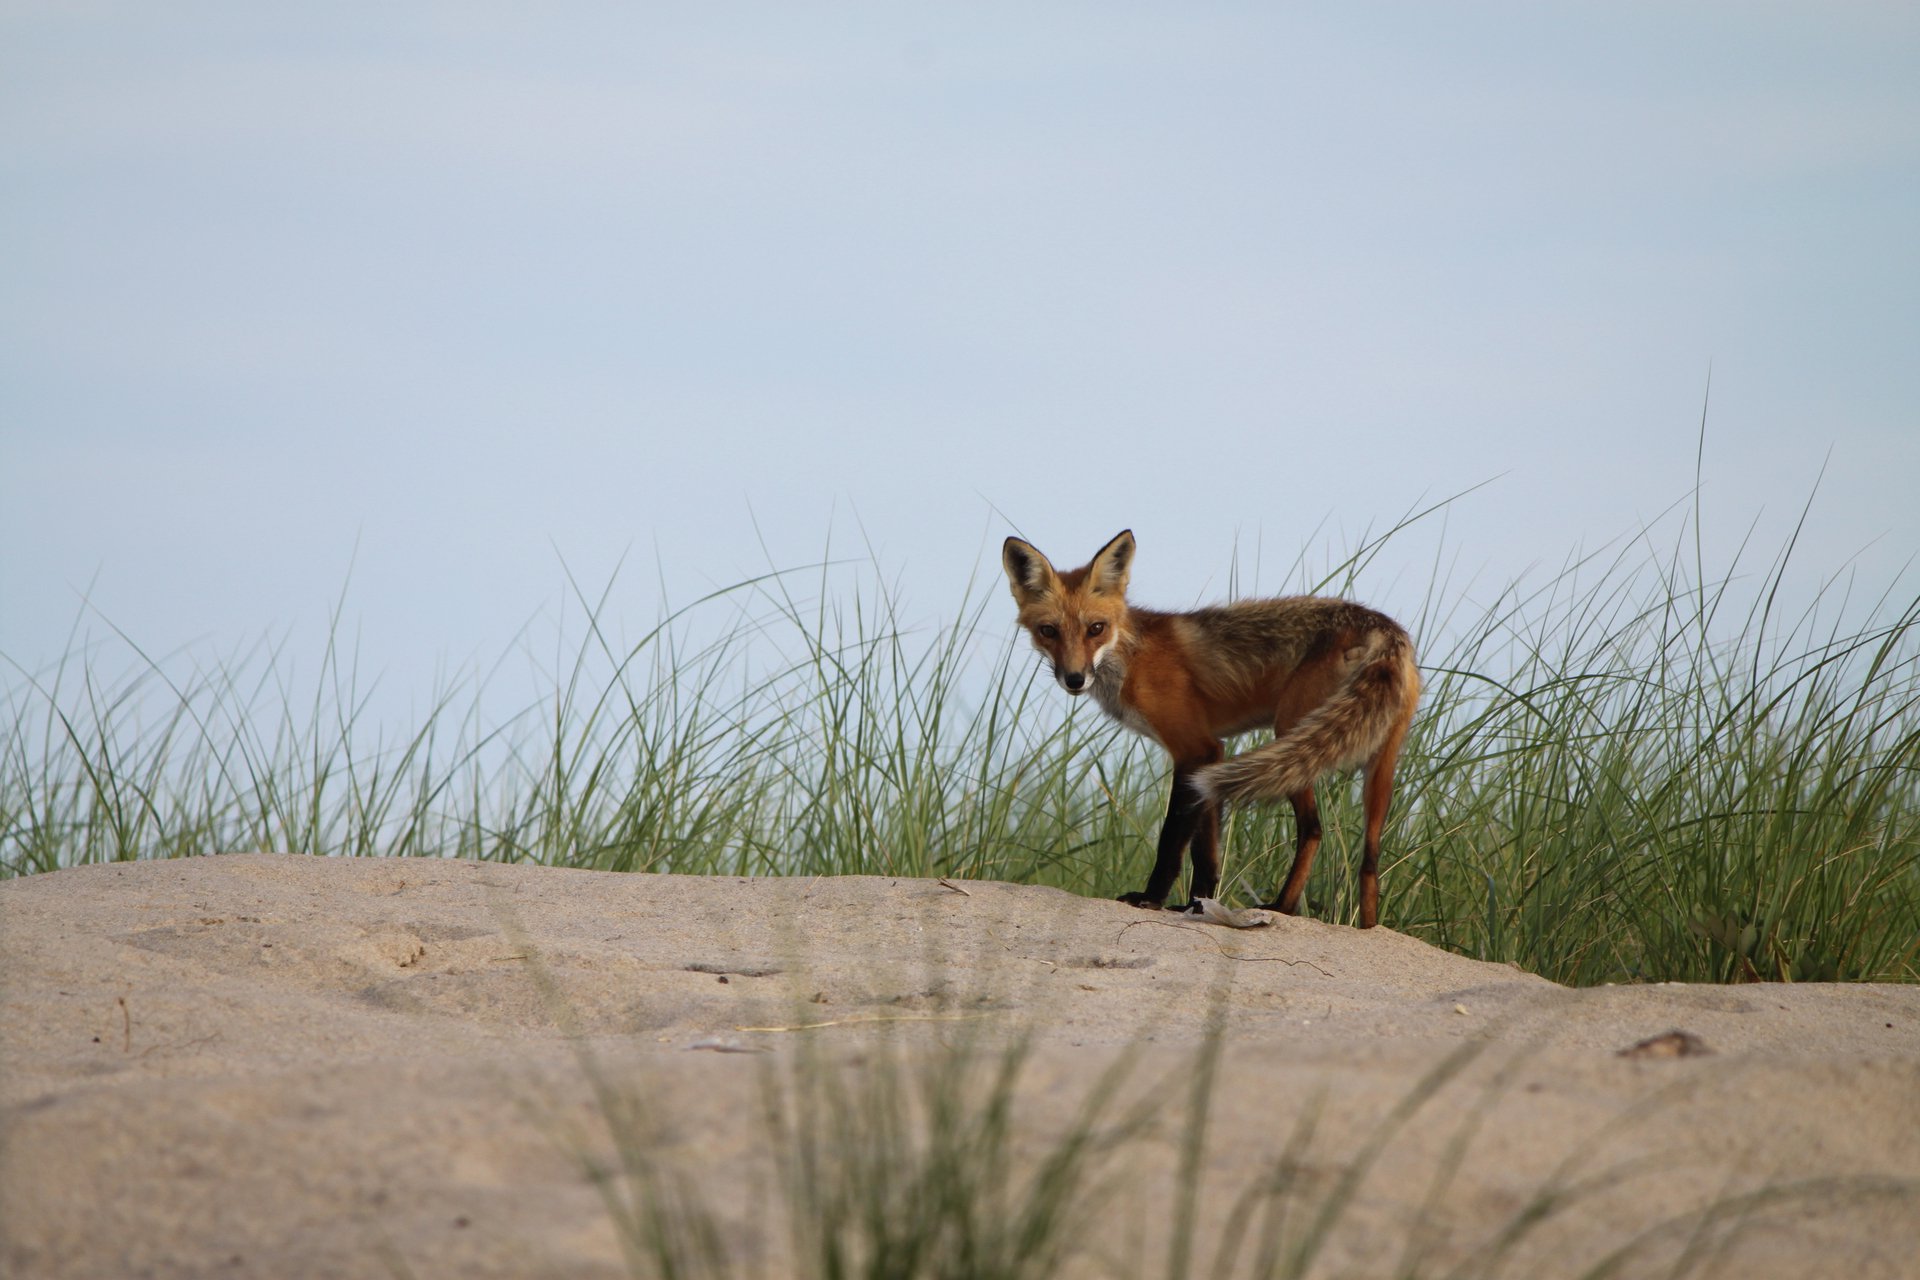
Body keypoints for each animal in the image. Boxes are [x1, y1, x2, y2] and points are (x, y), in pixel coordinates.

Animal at [998, 529, 1420, 932]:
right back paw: (1367, 930)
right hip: (1380, 760)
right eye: (1048, 631)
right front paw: (1196, 905)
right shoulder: (1212, 757)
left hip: (1293, 736)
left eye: (1095, 629)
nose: (1074, 679)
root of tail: (1382, 626)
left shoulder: (1196, 750)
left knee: (1313, 829)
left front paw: (1151, 898)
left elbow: (1173, 839)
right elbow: (1207, 852)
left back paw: (1283, 907)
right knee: (1369, 860)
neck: (1131, 655)